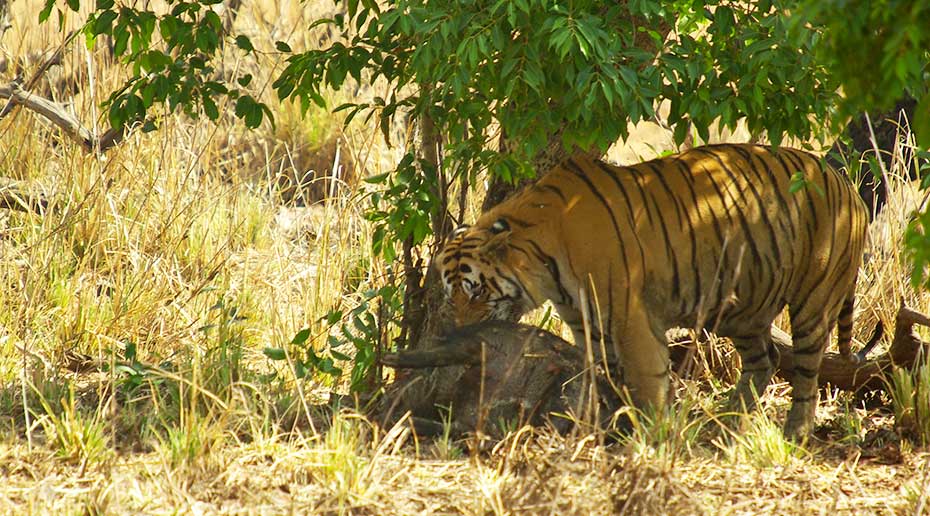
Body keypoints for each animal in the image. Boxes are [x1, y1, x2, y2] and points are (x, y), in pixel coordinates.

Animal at [436, 143, 872, 438]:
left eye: (476, 292)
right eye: (450, 294)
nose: (459, 331)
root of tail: (846, 184)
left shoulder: (629, 316)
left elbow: (647, 378)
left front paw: (652, 434)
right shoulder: (589, 322)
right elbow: (606, 376)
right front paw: (607, 423)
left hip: (813, 301)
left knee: (807, 372)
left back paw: (795, 431)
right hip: (742, 306)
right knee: (765, 359)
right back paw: (727, 420)